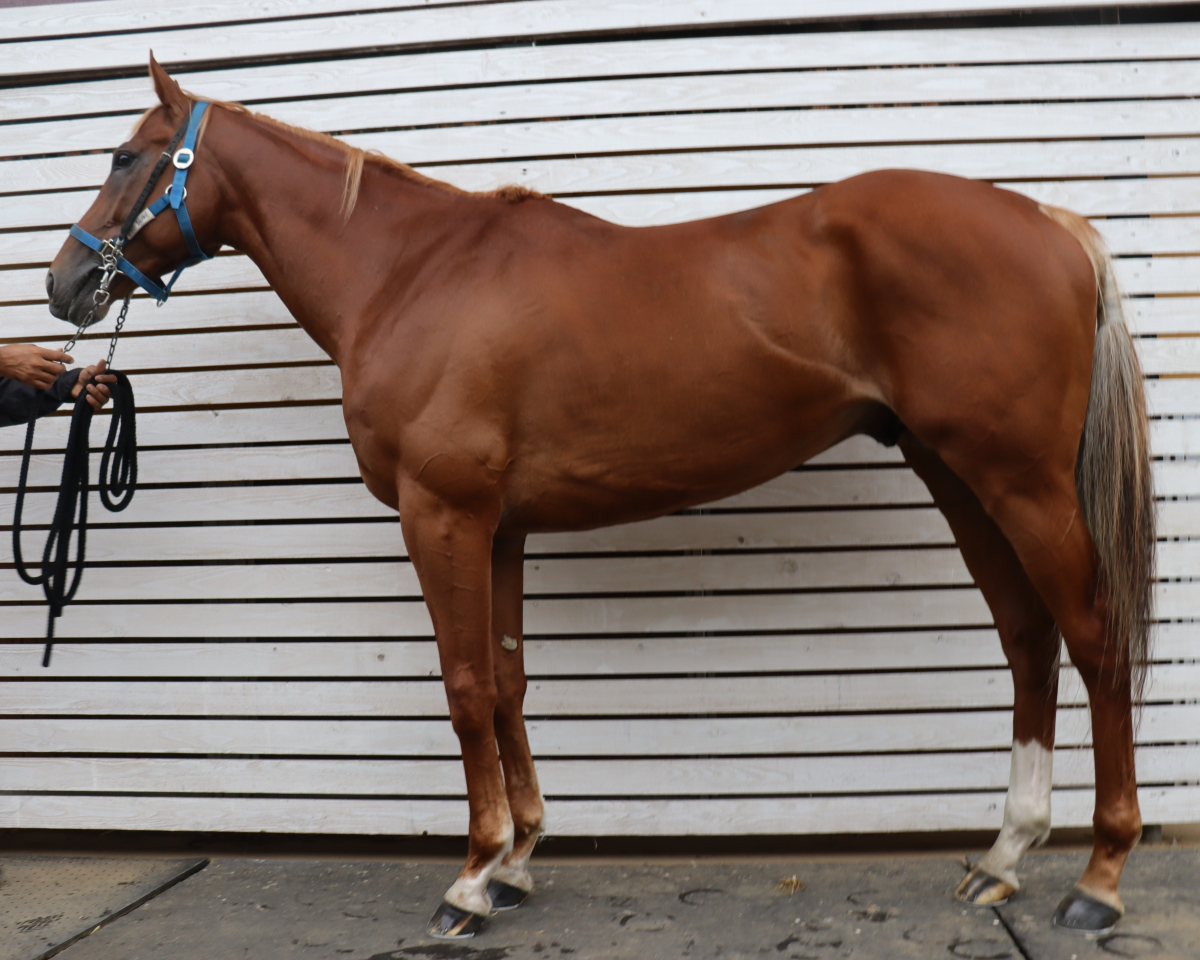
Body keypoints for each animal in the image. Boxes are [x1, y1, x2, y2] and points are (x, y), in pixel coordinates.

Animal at [46, 56, 1155, 940]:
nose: (62, 284)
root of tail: (1046, 220)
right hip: (958, 473)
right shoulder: (499, 528)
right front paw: (519, 861)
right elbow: (507, 682)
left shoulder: (442, 515)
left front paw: (469, 883)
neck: (410, 275)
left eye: (125, 157)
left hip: (1019, 481)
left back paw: (1098, 880)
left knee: (1094, 640)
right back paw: (1002, 859)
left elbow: (464, 688)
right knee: (1028, 641)